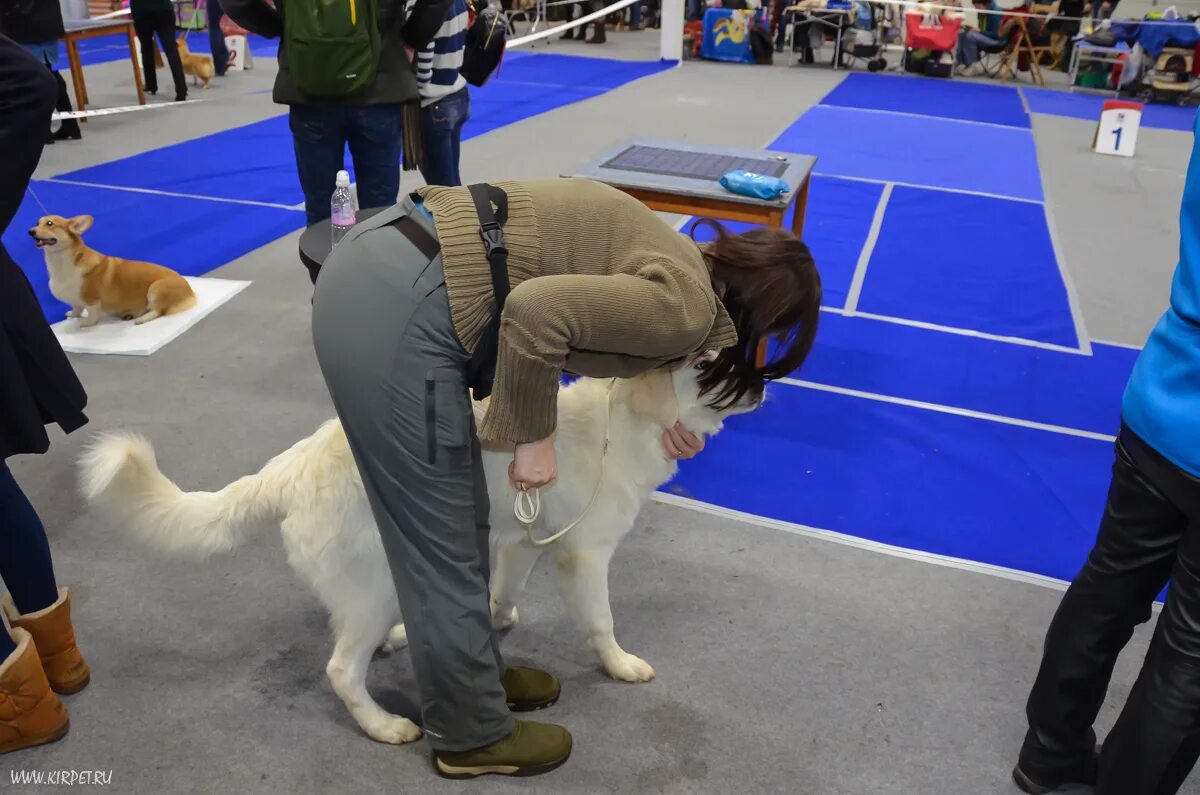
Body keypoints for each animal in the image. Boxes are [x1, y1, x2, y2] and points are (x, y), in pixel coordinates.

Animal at [29, 214, 196, 326]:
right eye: (37, 223)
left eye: (49, 223)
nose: (30, 231)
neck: (60, 262)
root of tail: (190, 292)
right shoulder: (76, 301)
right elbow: (76, 308)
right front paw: (72, 315)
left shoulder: (92, 299)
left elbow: (92, 313)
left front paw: (86, 323)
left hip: (156, 288)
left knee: (157, 311)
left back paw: (140, 319)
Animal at [79, 355, 763, 749]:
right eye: (711, 366)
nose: (761, 378)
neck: (624, 423)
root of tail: (287, 470)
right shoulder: (587, 556)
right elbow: (602, 622)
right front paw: (621, 665)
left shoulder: (523, 539)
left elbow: (502, 595)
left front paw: (499, 622)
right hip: (373, 588)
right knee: (341, 670)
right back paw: (382, 725)